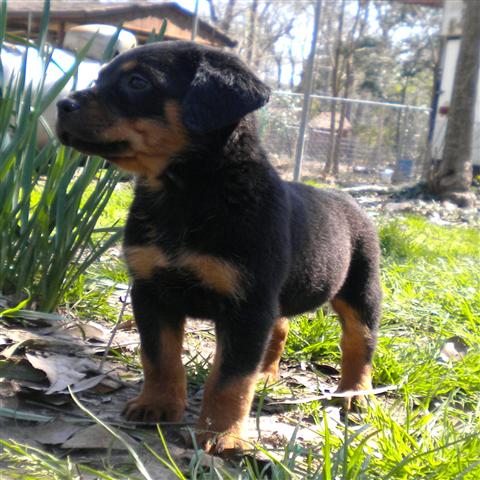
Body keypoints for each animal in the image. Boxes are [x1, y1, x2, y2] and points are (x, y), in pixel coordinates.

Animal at [56, 41, 380, 454]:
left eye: (137, 82)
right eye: (99, 78)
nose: (62, 104)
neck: (185, 193)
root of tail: (348, 198)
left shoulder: (247, 307)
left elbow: (230, 379)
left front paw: (220, 435)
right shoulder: (151, 291)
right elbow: (158, 357)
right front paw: (156, 405)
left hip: (360, 289)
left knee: (358, 342)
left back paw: (354, 394)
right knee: (280, 330)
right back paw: (268, 375)